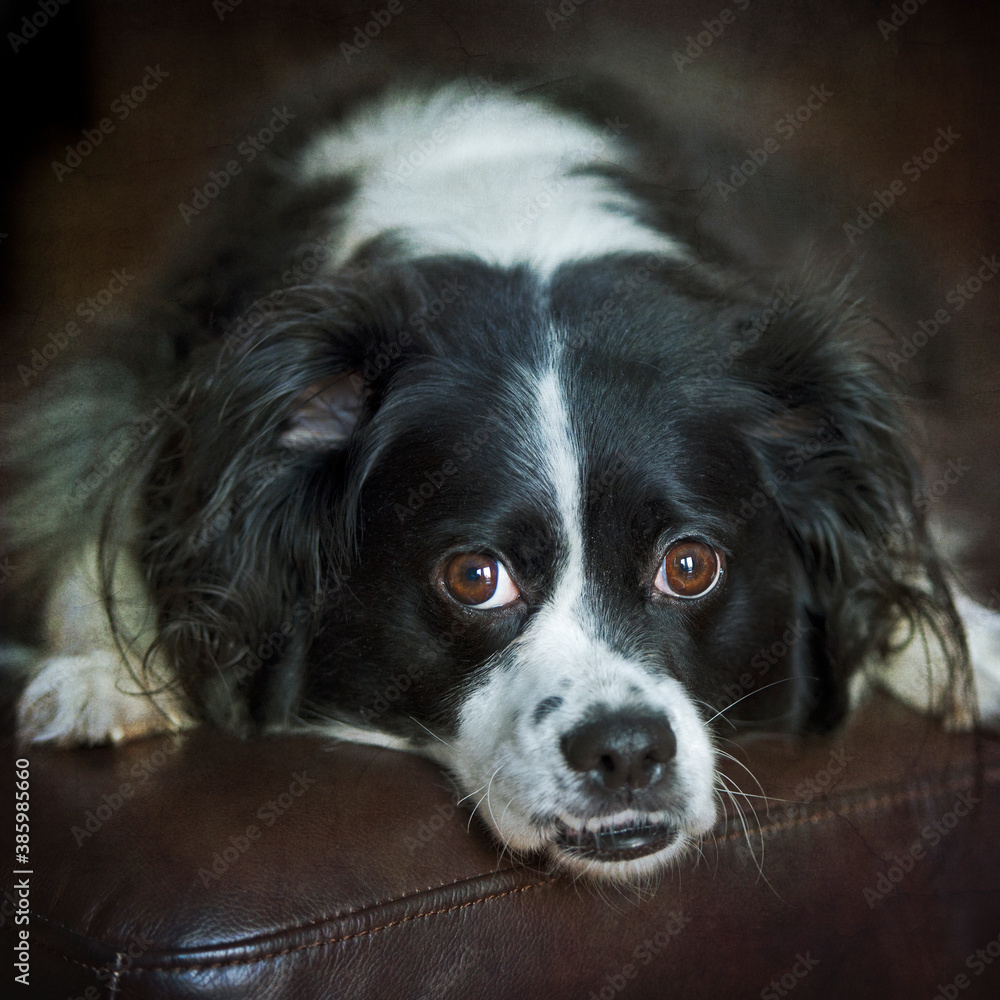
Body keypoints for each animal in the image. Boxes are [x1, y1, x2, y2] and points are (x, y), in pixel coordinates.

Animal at [5, 66, 1000, 880]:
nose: (626, 750)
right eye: (474, 577)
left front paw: (970, 644)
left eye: (690, 565)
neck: (511, 227)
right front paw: (104, 671)